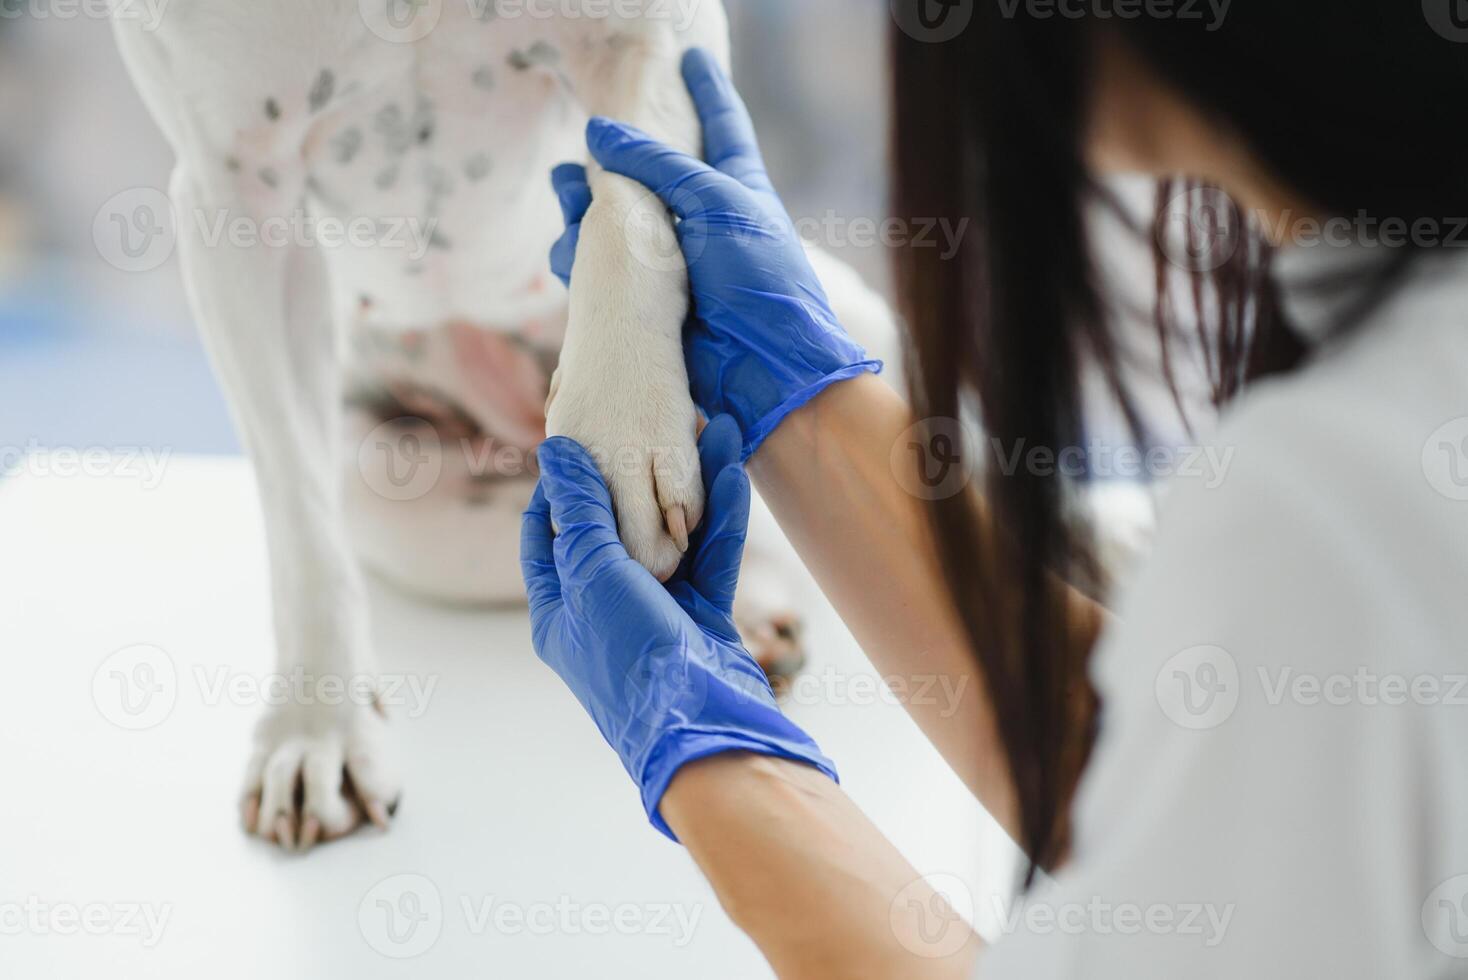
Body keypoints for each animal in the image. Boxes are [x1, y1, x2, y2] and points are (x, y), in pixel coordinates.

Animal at [111, 0, 892, 850]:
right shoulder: (237, 196)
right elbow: (299, 522)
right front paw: (319, 727)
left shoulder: (651, 35)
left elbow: (627, 201)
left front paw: (621, 431)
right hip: (386, 495)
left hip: (844, 312)